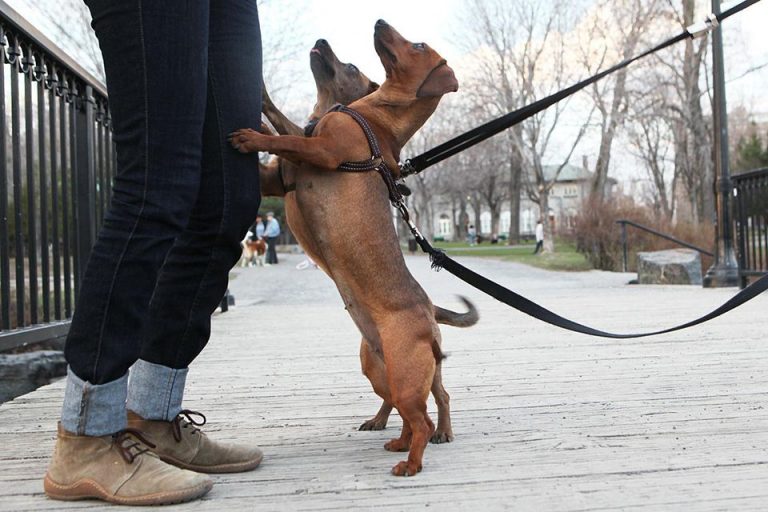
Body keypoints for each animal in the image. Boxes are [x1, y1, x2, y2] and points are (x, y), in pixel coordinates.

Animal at [231, 20, 462, 476]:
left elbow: (287, 137)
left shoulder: (319, 151)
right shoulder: (278, 179)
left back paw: (413, 460)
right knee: (414, 409)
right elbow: (281, 128)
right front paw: (261, 103)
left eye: (418, 44)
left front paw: (250, 136)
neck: (372, 117)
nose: (379, 22)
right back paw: (399, 440)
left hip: (405, 378)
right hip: (382, 373)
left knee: (425, 416)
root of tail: (428, 315)